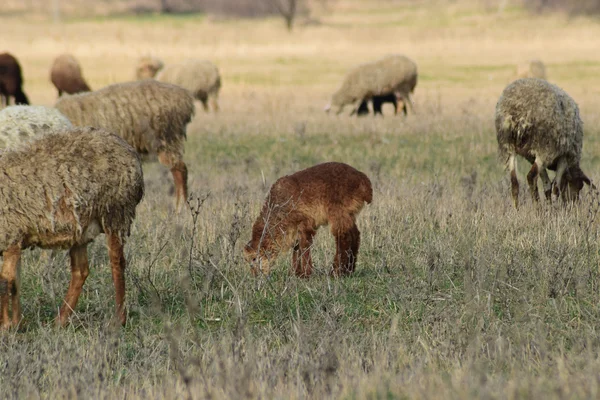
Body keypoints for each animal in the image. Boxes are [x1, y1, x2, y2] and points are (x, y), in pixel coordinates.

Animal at [0, 127, 144, 328]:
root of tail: (128, 148)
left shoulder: (11, 234)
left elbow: (6, 282)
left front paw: (6, 326)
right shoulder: (15, 238)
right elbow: (15, 283)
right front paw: (17, 324)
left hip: (116, 213)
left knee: (117, 263)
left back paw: (119, 319)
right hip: (81, 229)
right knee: (80, 271)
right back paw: (60, 321)